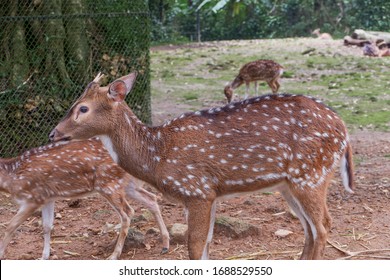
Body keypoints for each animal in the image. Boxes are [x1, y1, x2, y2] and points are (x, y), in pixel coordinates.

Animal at [0, 138, 170, 260]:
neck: (12, 177)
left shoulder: (33, 197)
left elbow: (10, 225)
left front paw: (2, 254)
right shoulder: (47, 197)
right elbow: (47, 226)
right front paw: (43, 257)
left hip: (108, 183)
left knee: (128, 213)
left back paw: (114, 255)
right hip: (127, 184)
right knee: (151, 198)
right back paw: (165, 245)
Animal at [48, 72, 354, 260]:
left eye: (82, 108)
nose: (53, 133)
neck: (157, 155)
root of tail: (343, 130)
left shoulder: (196, 190)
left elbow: (194, 248)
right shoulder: (209, 194)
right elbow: (206, 245)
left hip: (311, 175)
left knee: (323, 226)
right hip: (289, 184)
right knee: (310, 228)